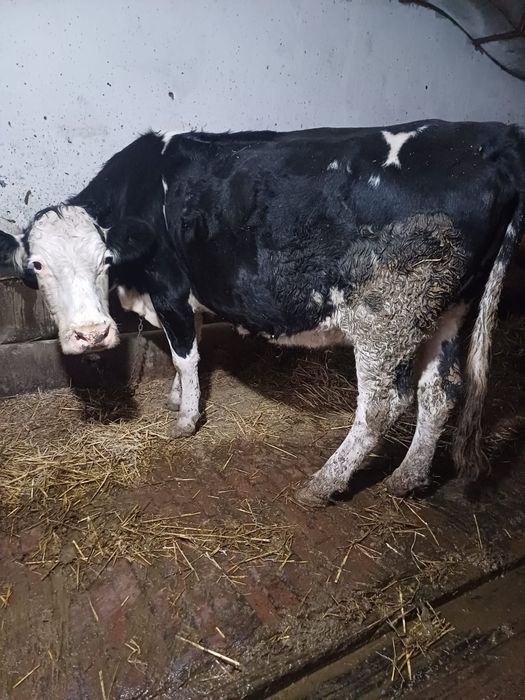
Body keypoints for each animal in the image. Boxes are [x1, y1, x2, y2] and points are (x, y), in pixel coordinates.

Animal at [1, 120, 524, 507]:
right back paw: (407, 478)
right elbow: (185, 349)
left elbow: (186, 355)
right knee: (441, 391)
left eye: (105, 260)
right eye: (37, 265)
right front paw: (176, 397)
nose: (92, 334)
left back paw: (323, 484)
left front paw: (185, 420)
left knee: (383, 403)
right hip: (448, 308)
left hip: (388, 315)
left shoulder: (169, 287)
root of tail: (492, 136)